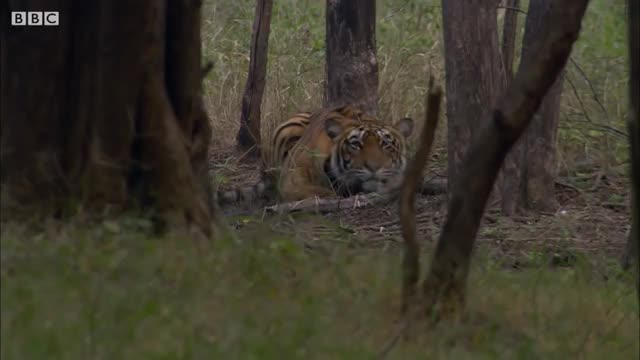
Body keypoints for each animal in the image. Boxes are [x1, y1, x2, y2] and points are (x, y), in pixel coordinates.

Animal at [215, 104, 416, 205]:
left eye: (386, 144)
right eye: (356, 145)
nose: (374, 167)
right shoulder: (292, 181)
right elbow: (321, 192)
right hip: (289, 130)